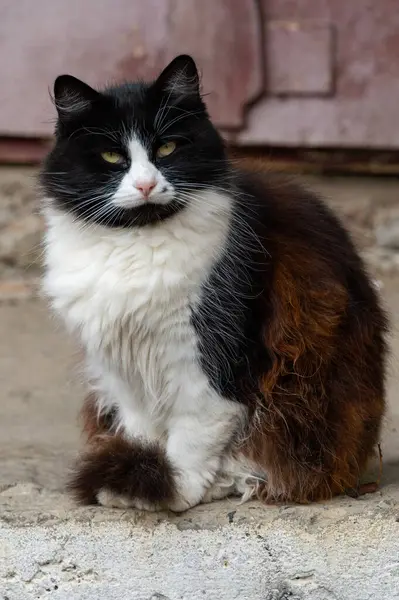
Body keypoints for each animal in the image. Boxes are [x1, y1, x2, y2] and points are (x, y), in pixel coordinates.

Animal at [39, 54, 388, 510]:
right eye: (113, 156)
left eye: (167, 148)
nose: (146, 184)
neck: (136, 241)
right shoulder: (122, 365)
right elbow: (141, 429)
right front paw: (140, 472)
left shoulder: (210, 351)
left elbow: (194, 432)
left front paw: (175, 488)